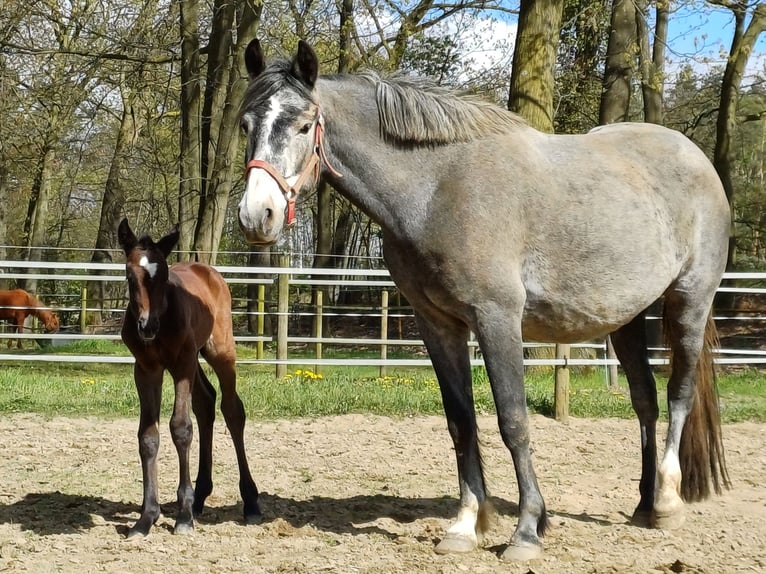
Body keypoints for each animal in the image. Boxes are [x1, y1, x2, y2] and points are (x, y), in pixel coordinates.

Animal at [117, 219, 260, 540]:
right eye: (130, 275)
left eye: (164, 275)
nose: (147, 326)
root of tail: (208, 271)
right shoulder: (146, 369)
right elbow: (148, 436)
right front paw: (146, 517)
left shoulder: (181, 365)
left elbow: (181, 428)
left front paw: (182, 517)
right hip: (195, 358)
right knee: (206, 403)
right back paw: (200, 496)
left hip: (219, 351)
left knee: (232, 410)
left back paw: (250, 502)